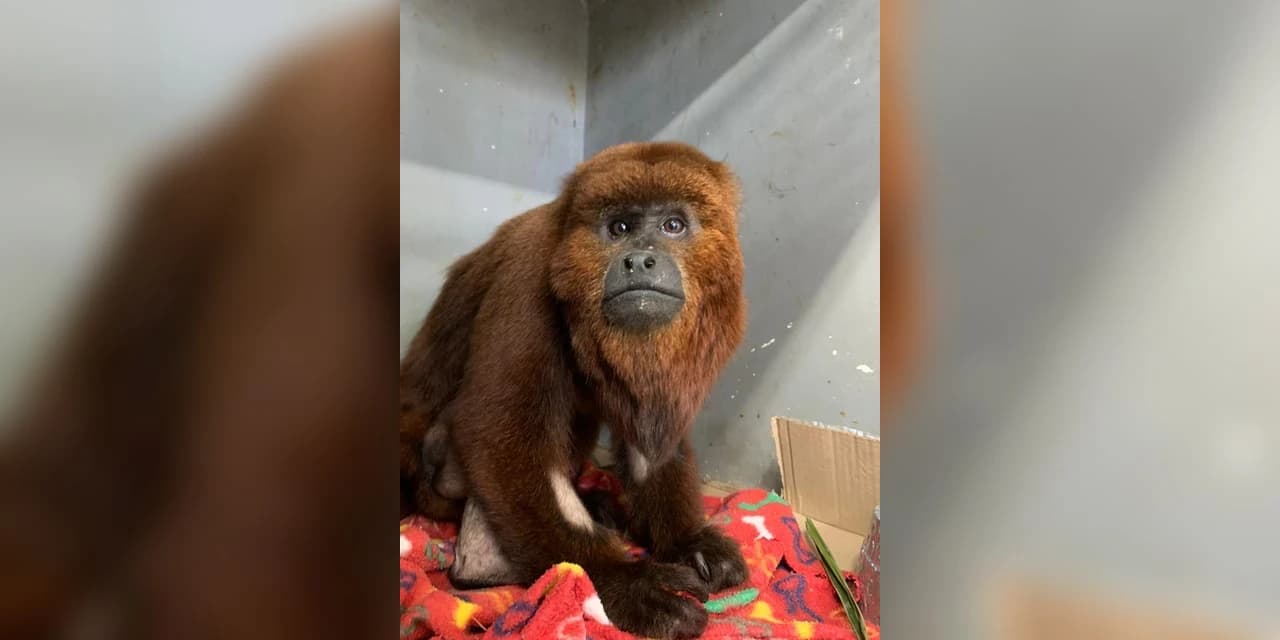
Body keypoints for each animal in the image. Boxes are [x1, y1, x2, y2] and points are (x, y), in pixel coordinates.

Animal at [399, 141, 748, 639]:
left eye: (673, 225)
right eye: (619, 228)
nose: (639, 260)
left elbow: (650, 443)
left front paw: (686, 539)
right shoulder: (527, 276)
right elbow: (497, 431)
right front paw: (623, 581)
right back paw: (483, 568)